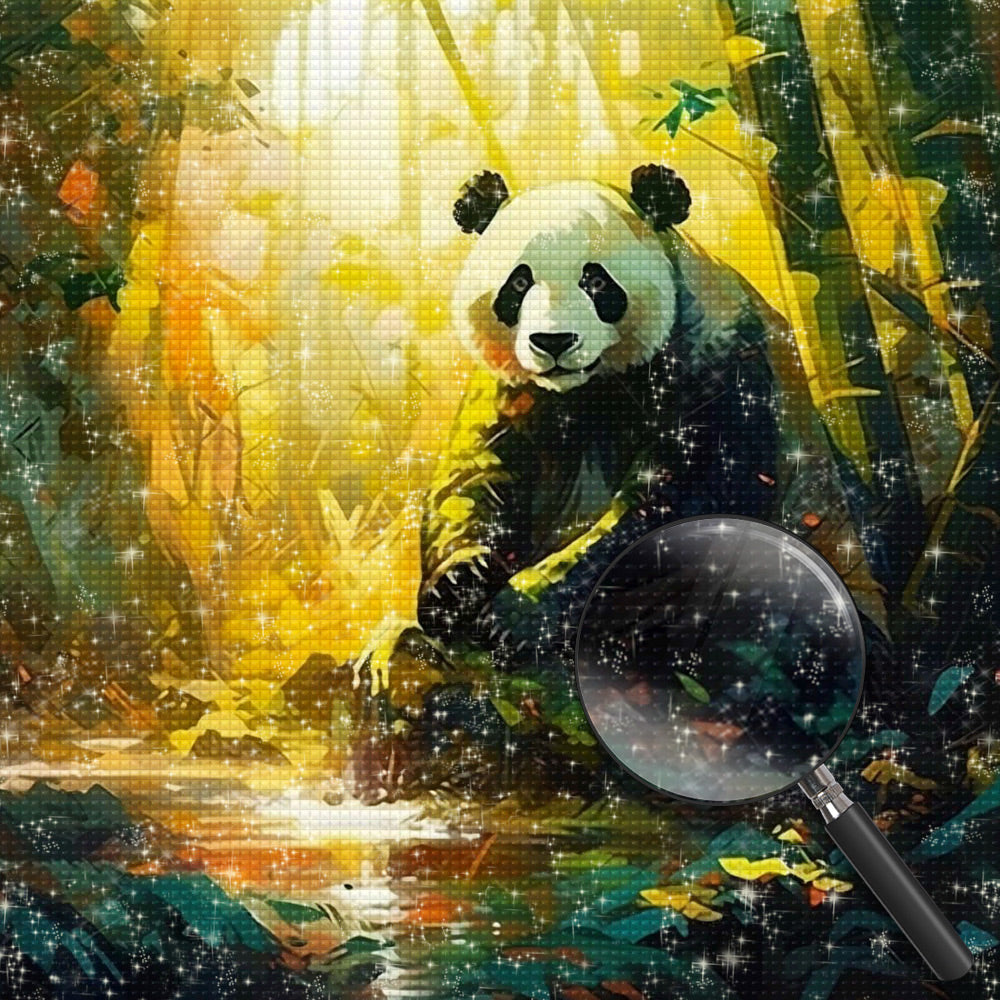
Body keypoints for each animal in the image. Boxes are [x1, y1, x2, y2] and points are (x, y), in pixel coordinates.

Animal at [416, 165, 845, 661]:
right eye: (518, 284)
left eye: (596, 281)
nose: (553, 341)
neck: (594, 383)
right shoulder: (516, 389)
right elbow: (476, 471)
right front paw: (456, 586)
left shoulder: (715, 360)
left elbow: (677, 502)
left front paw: (517, 614)